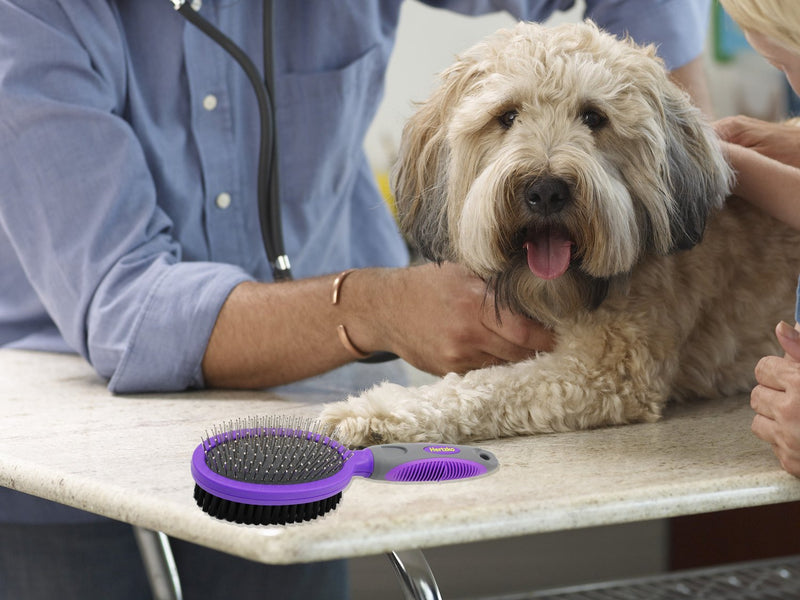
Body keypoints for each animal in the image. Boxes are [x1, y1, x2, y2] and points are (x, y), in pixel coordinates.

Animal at [320, 19, 800, 446]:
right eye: (507, 116)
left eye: (593, 117)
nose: (546, 190)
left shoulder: (607, 371)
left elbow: (486, 387)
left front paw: (373, 411)